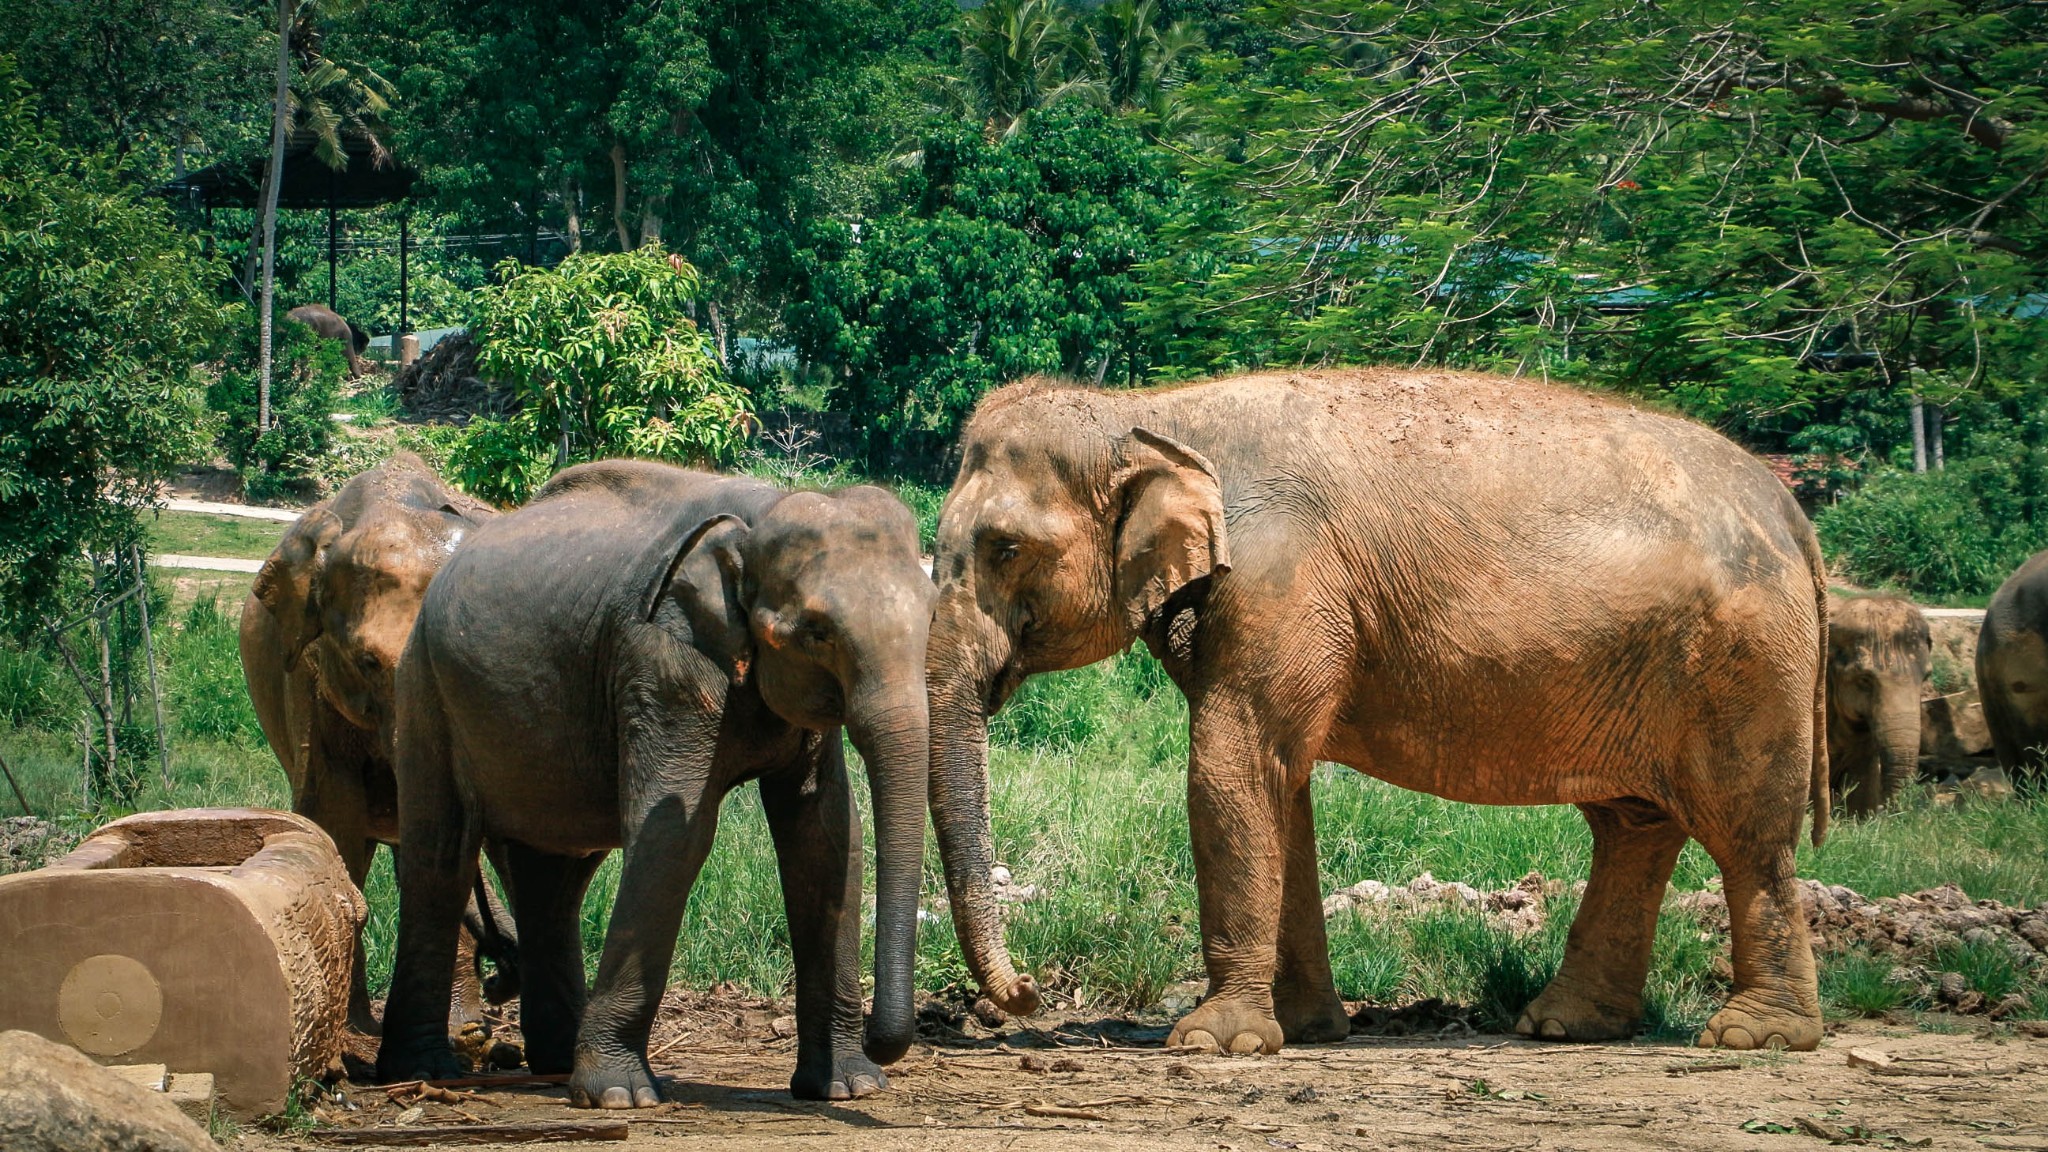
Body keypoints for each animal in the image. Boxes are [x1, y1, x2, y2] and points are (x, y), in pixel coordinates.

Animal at [238, 450, 516, 1033]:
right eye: (368, 663)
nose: (501, 982)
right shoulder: (310, 677)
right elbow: (336, 818)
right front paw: (352, 1033)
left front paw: (462, 1034)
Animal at [376, 457, 937, 1106]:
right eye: (817, 633)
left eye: (931, 616)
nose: (882, 1038)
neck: (759, 514)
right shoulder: (660, 659)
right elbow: (674, 833)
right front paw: (621, 1096)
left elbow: (826, 838)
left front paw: (848, 1088)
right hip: (423, 687)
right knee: (441, 855)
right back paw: (425, 1069)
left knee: (552, 877)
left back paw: (555, 1063)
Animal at [921, 373, 1835, 1057]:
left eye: (1005, 548)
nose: (1026, 996)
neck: (1149, 412)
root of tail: (1791, 512)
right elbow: (1277, 786)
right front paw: (1298, 1032)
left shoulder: (1281, 580)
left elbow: (1232, 768)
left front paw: (1214, 1042)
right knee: (1634, 827)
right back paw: (1564, 1026)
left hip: (1748, 661)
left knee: (1747, 830)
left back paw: (1752, 1037)